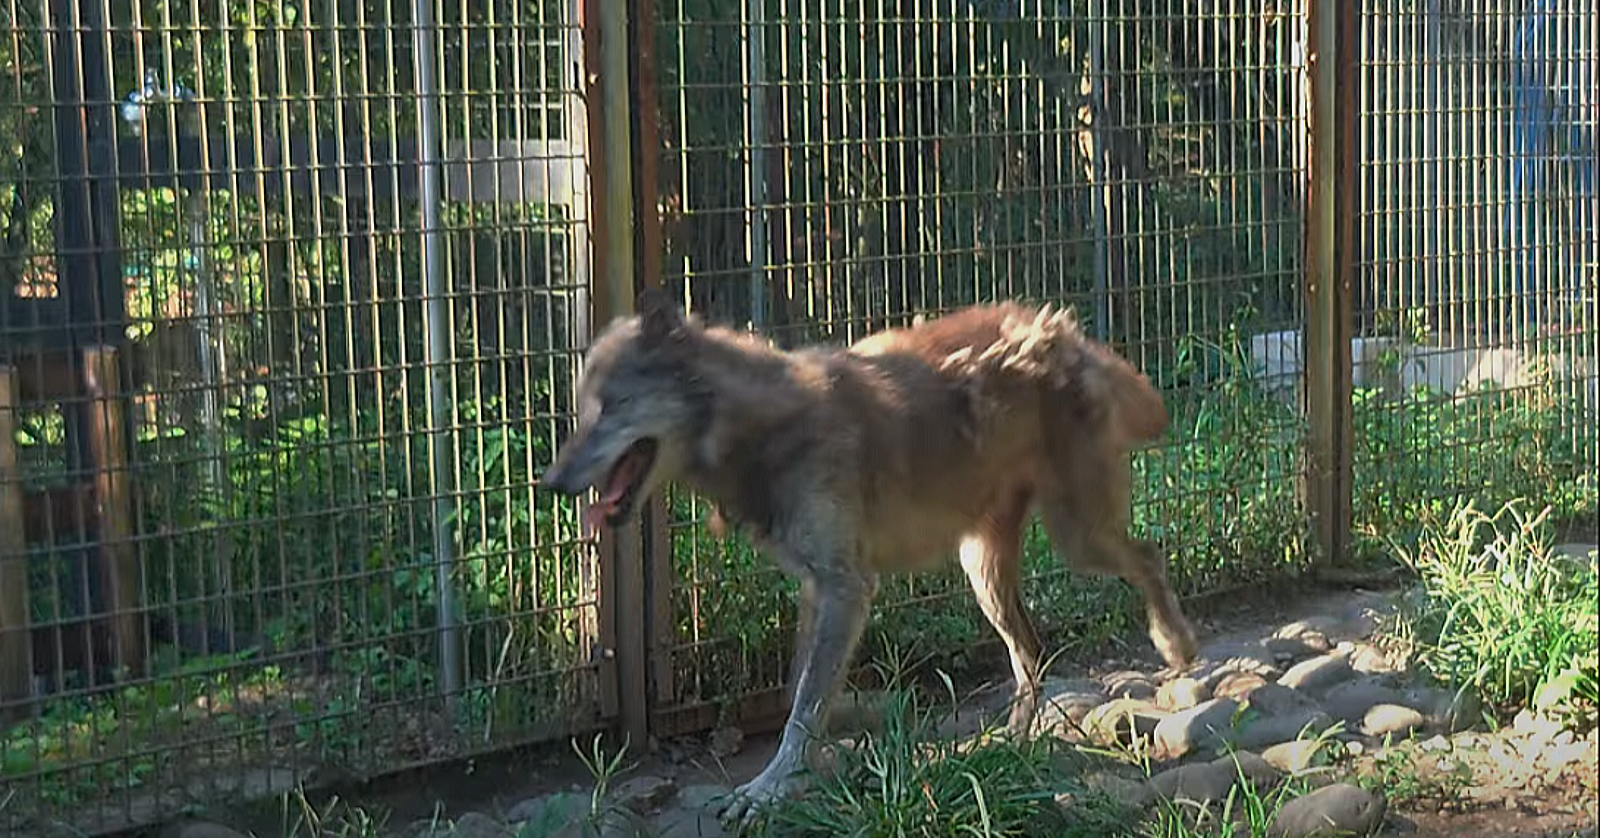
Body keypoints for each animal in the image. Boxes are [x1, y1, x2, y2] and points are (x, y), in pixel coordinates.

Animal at [544, 292, 1196, 825]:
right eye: (581, 411)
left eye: (610, 407)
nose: (550, 483)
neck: (757, 430)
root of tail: (1061, 332)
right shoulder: (819, 589)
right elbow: (799, 692)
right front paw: (827, 750)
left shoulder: (846, 587)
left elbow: (803, 706)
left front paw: (767, 791)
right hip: (984, 572)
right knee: (1032, 653)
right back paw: (1009, 746)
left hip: (1076, 540)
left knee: (1149, 556)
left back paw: (1176, 646)